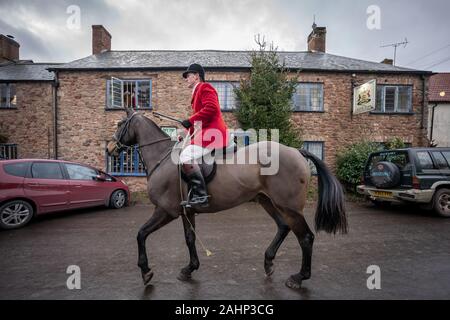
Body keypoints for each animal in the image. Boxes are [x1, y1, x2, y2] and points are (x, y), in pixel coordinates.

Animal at [107, 108, 346, 290]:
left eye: (120, 124)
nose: (110, 148)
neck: (162, 158)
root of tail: (297, 151)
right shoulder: (187, 211)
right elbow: (189, 239)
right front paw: (189, 269)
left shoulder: (166, 211)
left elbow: (141, 234)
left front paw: (146, 271)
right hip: (268, 201)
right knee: (283, 227)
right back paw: (268, 262)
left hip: (289, 207)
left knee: (305, 237)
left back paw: (298, 277)